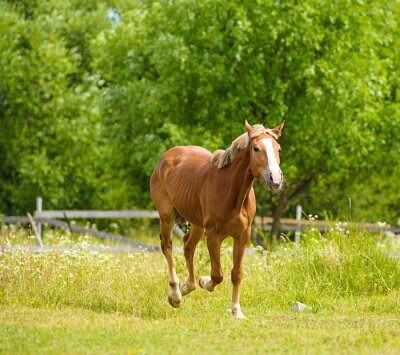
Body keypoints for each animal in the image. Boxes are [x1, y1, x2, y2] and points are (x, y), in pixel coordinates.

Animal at [150, 120, 284, 320]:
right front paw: (205, 282)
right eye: (256, 148)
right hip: (167, 216)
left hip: (197, 224)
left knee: (188, 246)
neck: (232, 192)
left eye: (278, 148)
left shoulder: (242, 236)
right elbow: (217, 274)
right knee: (167, 246)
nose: (275, 179)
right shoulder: (213, 236)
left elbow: (236, 274)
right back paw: (175, 294)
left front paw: (236, 311)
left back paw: (186, 286)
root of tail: (165, 158)